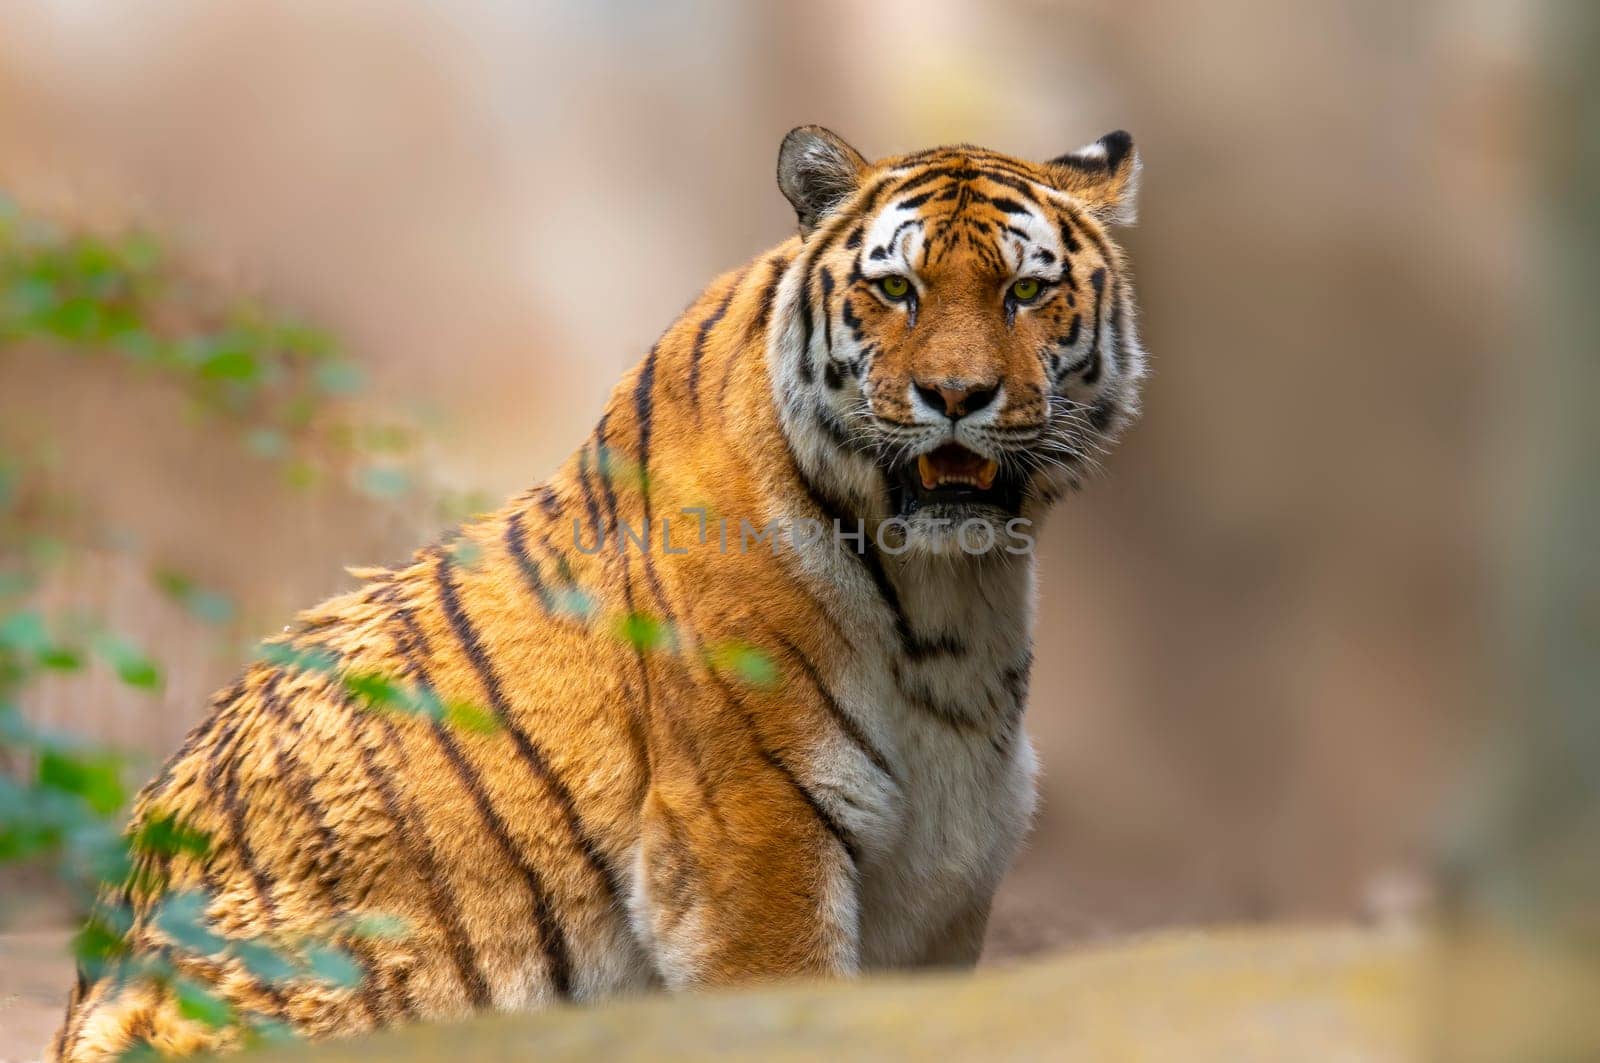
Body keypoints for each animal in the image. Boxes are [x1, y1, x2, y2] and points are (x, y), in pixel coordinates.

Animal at [50, 126, 1145, 1063]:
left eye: (1023, 291)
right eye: (896, 288)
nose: (956, 396)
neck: (952, 596)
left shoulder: (944, 883)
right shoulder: (751, 833)